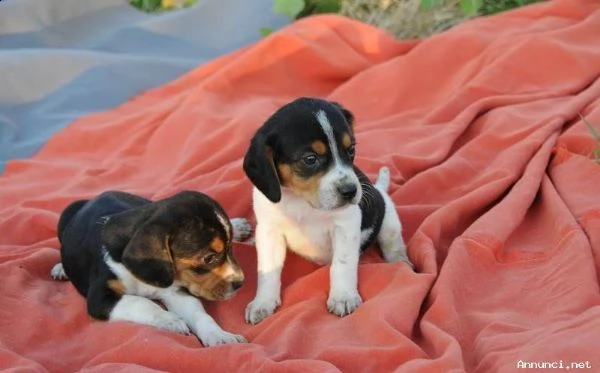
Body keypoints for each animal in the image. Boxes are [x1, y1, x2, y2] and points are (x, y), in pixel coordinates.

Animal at [48, 190, 251, 348]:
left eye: (231, 249)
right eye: (208, 258)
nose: (240, 283)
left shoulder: (176, 292)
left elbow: (200, 315)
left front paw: (221, 337)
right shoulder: (99, 299)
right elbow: (142, 303)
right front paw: (170, 320)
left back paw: (239, 226)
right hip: (65, 214)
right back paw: (61, 268)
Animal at [241, 97, 414, 324]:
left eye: (351, 150)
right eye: (310, 159)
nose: (351, 191)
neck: (302, 202)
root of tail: (380, 190)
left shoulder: (346, 226)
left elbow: (342, 264)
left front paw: (343, 296)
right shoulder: (270, 231)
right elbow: (268, 270)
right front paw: (263, 302)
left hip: (388, 222)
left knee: (392, 243)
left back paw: (400, 262)